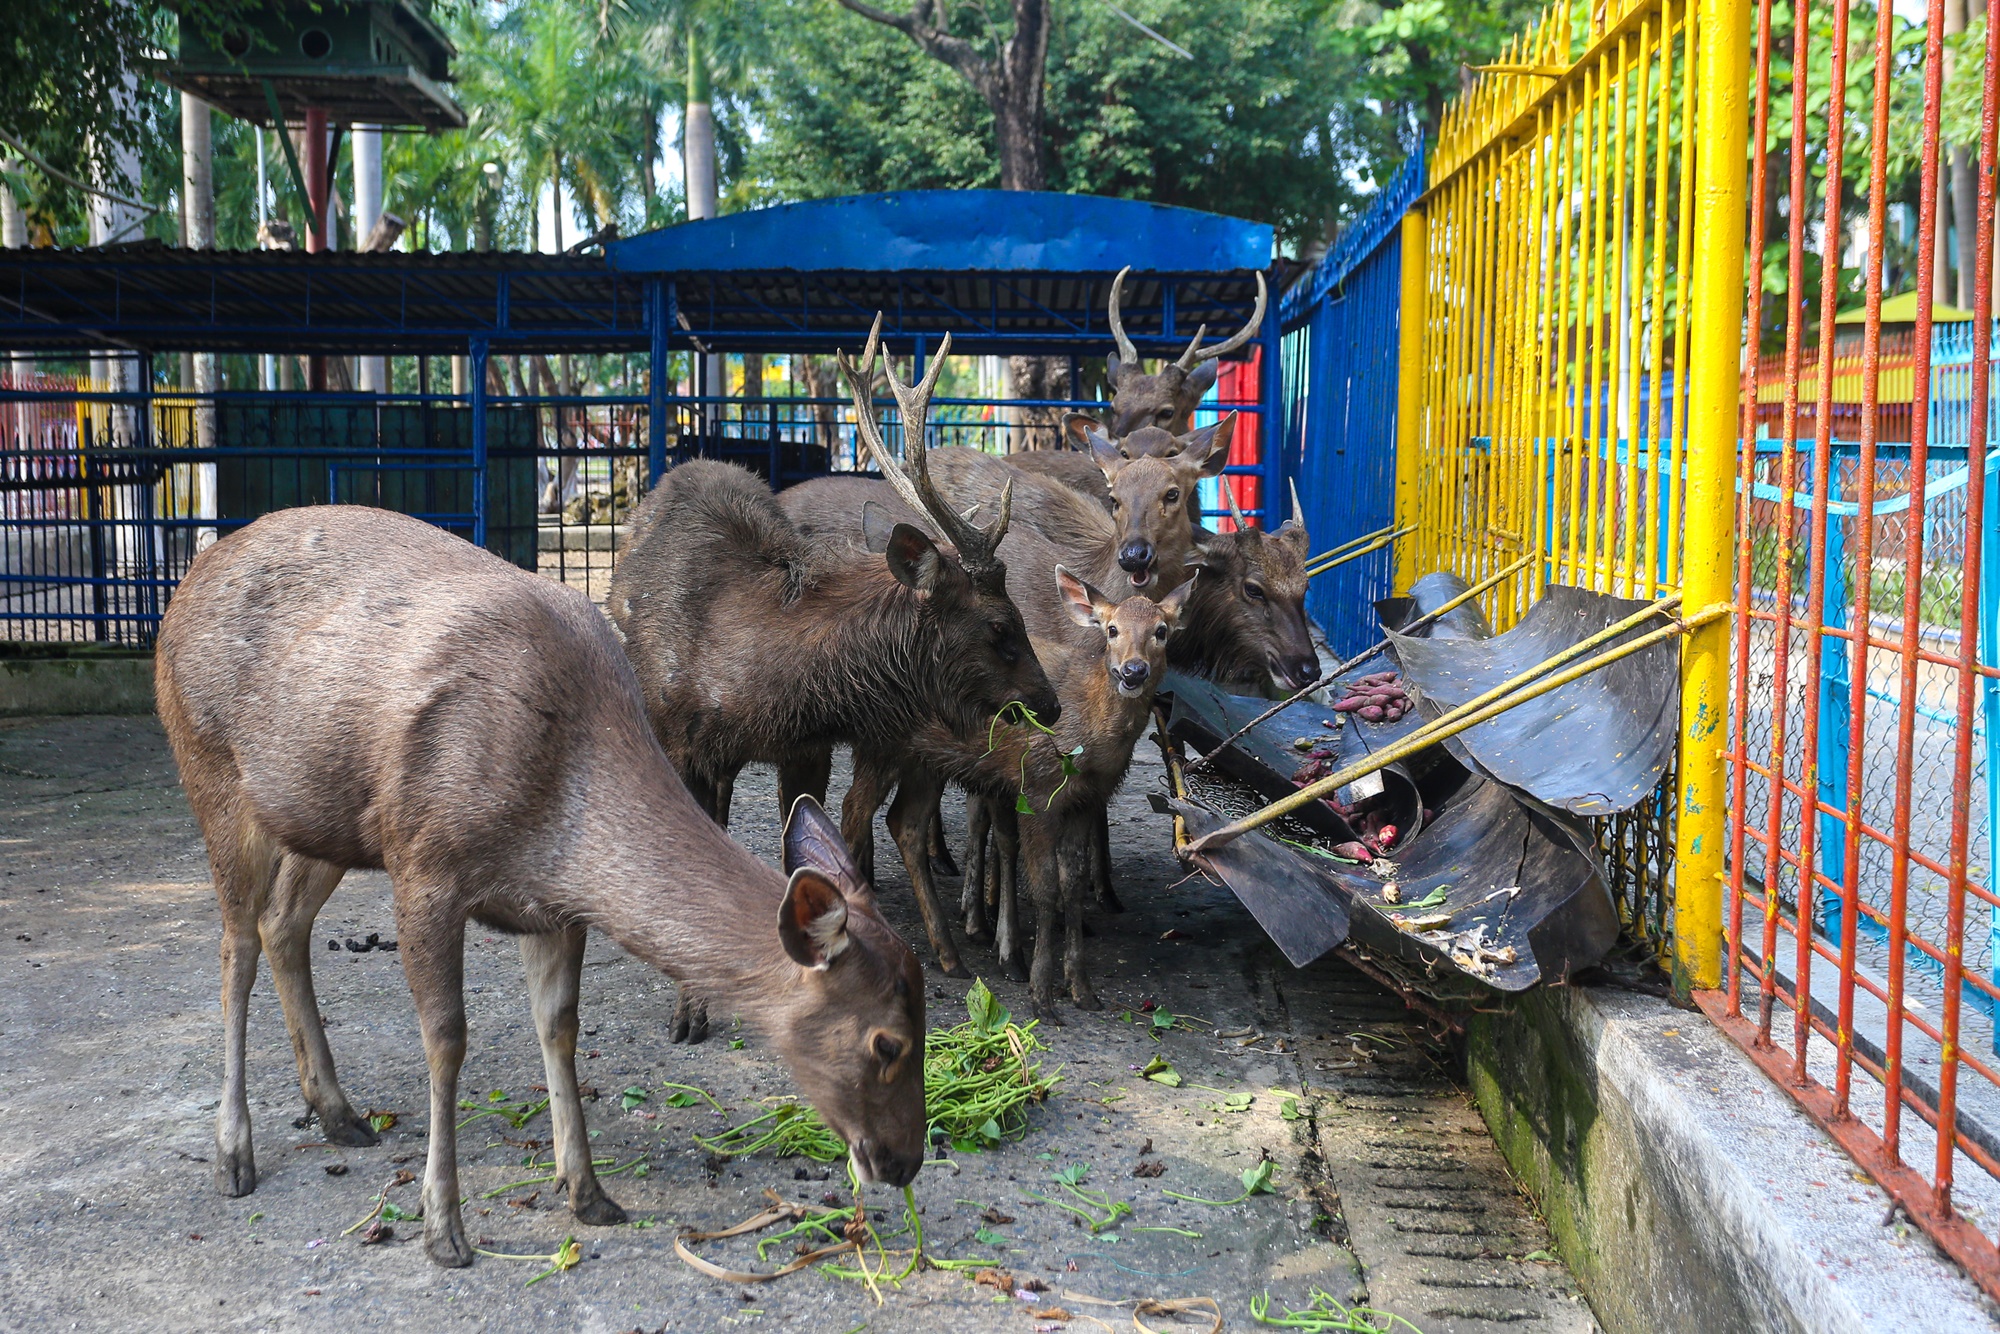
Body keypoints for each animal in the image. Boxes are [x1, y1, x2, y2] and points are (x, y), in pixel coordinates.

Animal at [158, 508, 928, 1272]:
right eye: (887, 1044)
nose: (906, 1162)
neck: (554, 818)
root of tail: (190, 577)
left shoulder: (552, 908)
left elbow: (559, 1026)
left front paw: (587, 1191)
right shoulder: (424, 862)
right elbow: (446, 1037)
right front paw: (444, 1227)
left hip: (322, 816)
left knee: (282, 923)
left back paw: (340, 1113)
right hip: (211, 767)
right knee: (235, 947)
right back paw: (234, 1154)